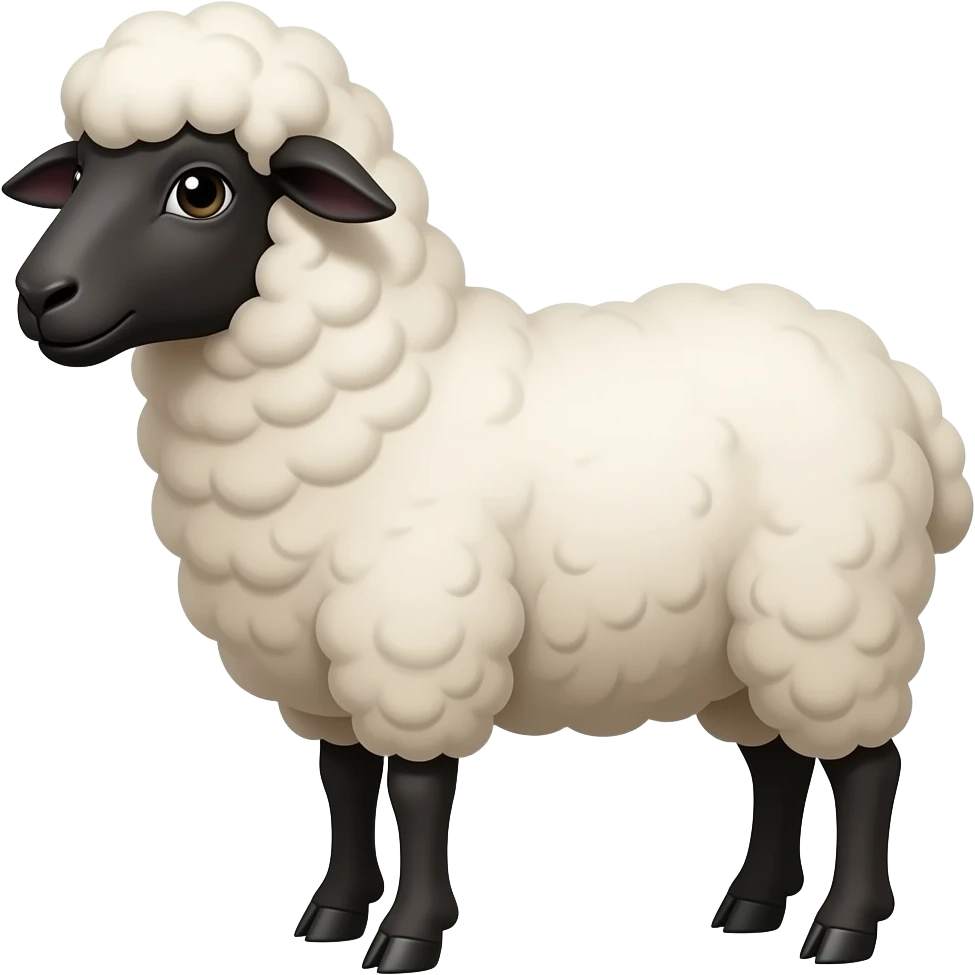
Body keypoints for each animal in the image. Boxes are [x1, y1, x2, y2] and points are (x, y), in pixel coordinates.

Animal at [5, 3, 971, 971]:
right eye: (80, 172)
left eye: (199, 190)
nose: (39, 295)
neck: (386, 392)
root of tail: (899, 378)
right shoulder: (317, 662)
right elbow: (345, 781)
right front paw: (331, 914)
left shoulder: (418, 630)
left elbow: (419, 790)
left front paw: (406, 935)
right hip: (748, 637)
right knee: (776, 760)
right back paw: (751, 905)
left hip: (833, 607)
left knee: (866, 763)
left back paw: (841, 928)